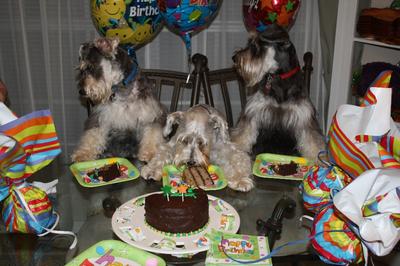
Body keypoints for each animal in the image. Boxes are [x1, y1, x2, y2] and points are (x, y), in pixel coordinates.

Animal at [231, 23, 324, 161]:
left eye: (256, 44)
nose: (234, 58)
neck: (280, 80)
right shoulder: (252, 114)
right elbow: (242, 137)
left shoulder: (305, 120)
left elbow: (313, 144)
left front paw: (319, 161)